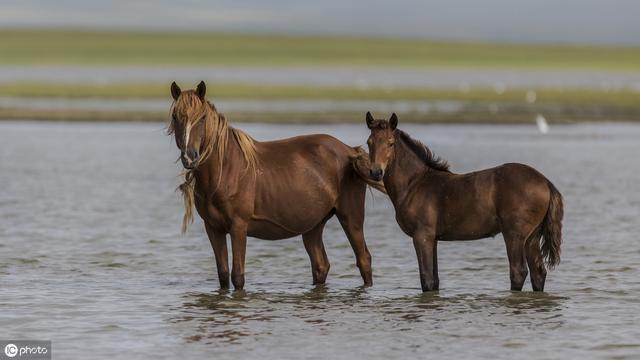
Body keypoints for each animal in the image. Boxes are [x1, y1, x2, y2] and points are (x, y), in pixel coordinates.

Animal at [168, 81, 382, 290]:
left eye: (202, 117)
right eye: (175, 116)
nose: (189, 158)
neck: (225, 170)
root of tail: (349, 151)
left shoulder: (239, 226)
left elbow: (237, 276)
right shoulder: (213, 228)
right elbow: (223, 276)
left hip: (351, 216)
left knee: (363, 259)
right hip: (313, 225)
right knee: (321, 265)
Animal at [360, 112, 564, 292]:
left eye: (390, 143)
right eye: (369, 142)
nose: (376, 172)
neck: (414, 183)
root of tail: (545, 182)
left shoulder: (422, 236)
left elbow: (426, 279)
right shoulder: (433, 238)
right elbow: (434, 280)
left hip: (514, 235)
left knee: (518, 271)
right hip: (532, 237)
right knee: (538, 272)